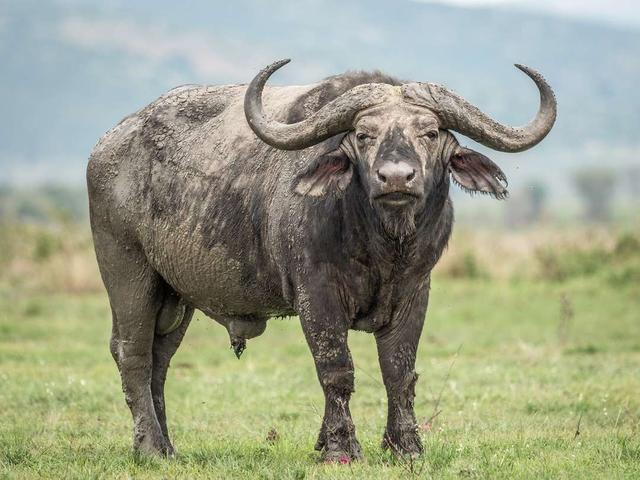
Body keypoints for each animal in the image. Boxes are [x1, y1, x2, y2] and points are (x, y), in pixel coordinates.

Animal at [87, 59, 556, 461]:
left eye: (430, 132)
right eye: (364, 135)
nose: (396, 177)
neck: (381, 247)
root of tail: (107, 146)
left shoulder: (414, 294)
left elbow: (399, 372)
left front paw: (405, 447)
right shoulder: (317, 296)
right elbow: (336, 370)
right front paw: (339, 447)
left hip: (175, 296)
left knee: (160, 359)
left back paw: (168, 446)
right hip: (128, 272)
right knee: (133, 354)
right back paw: (149, 448)